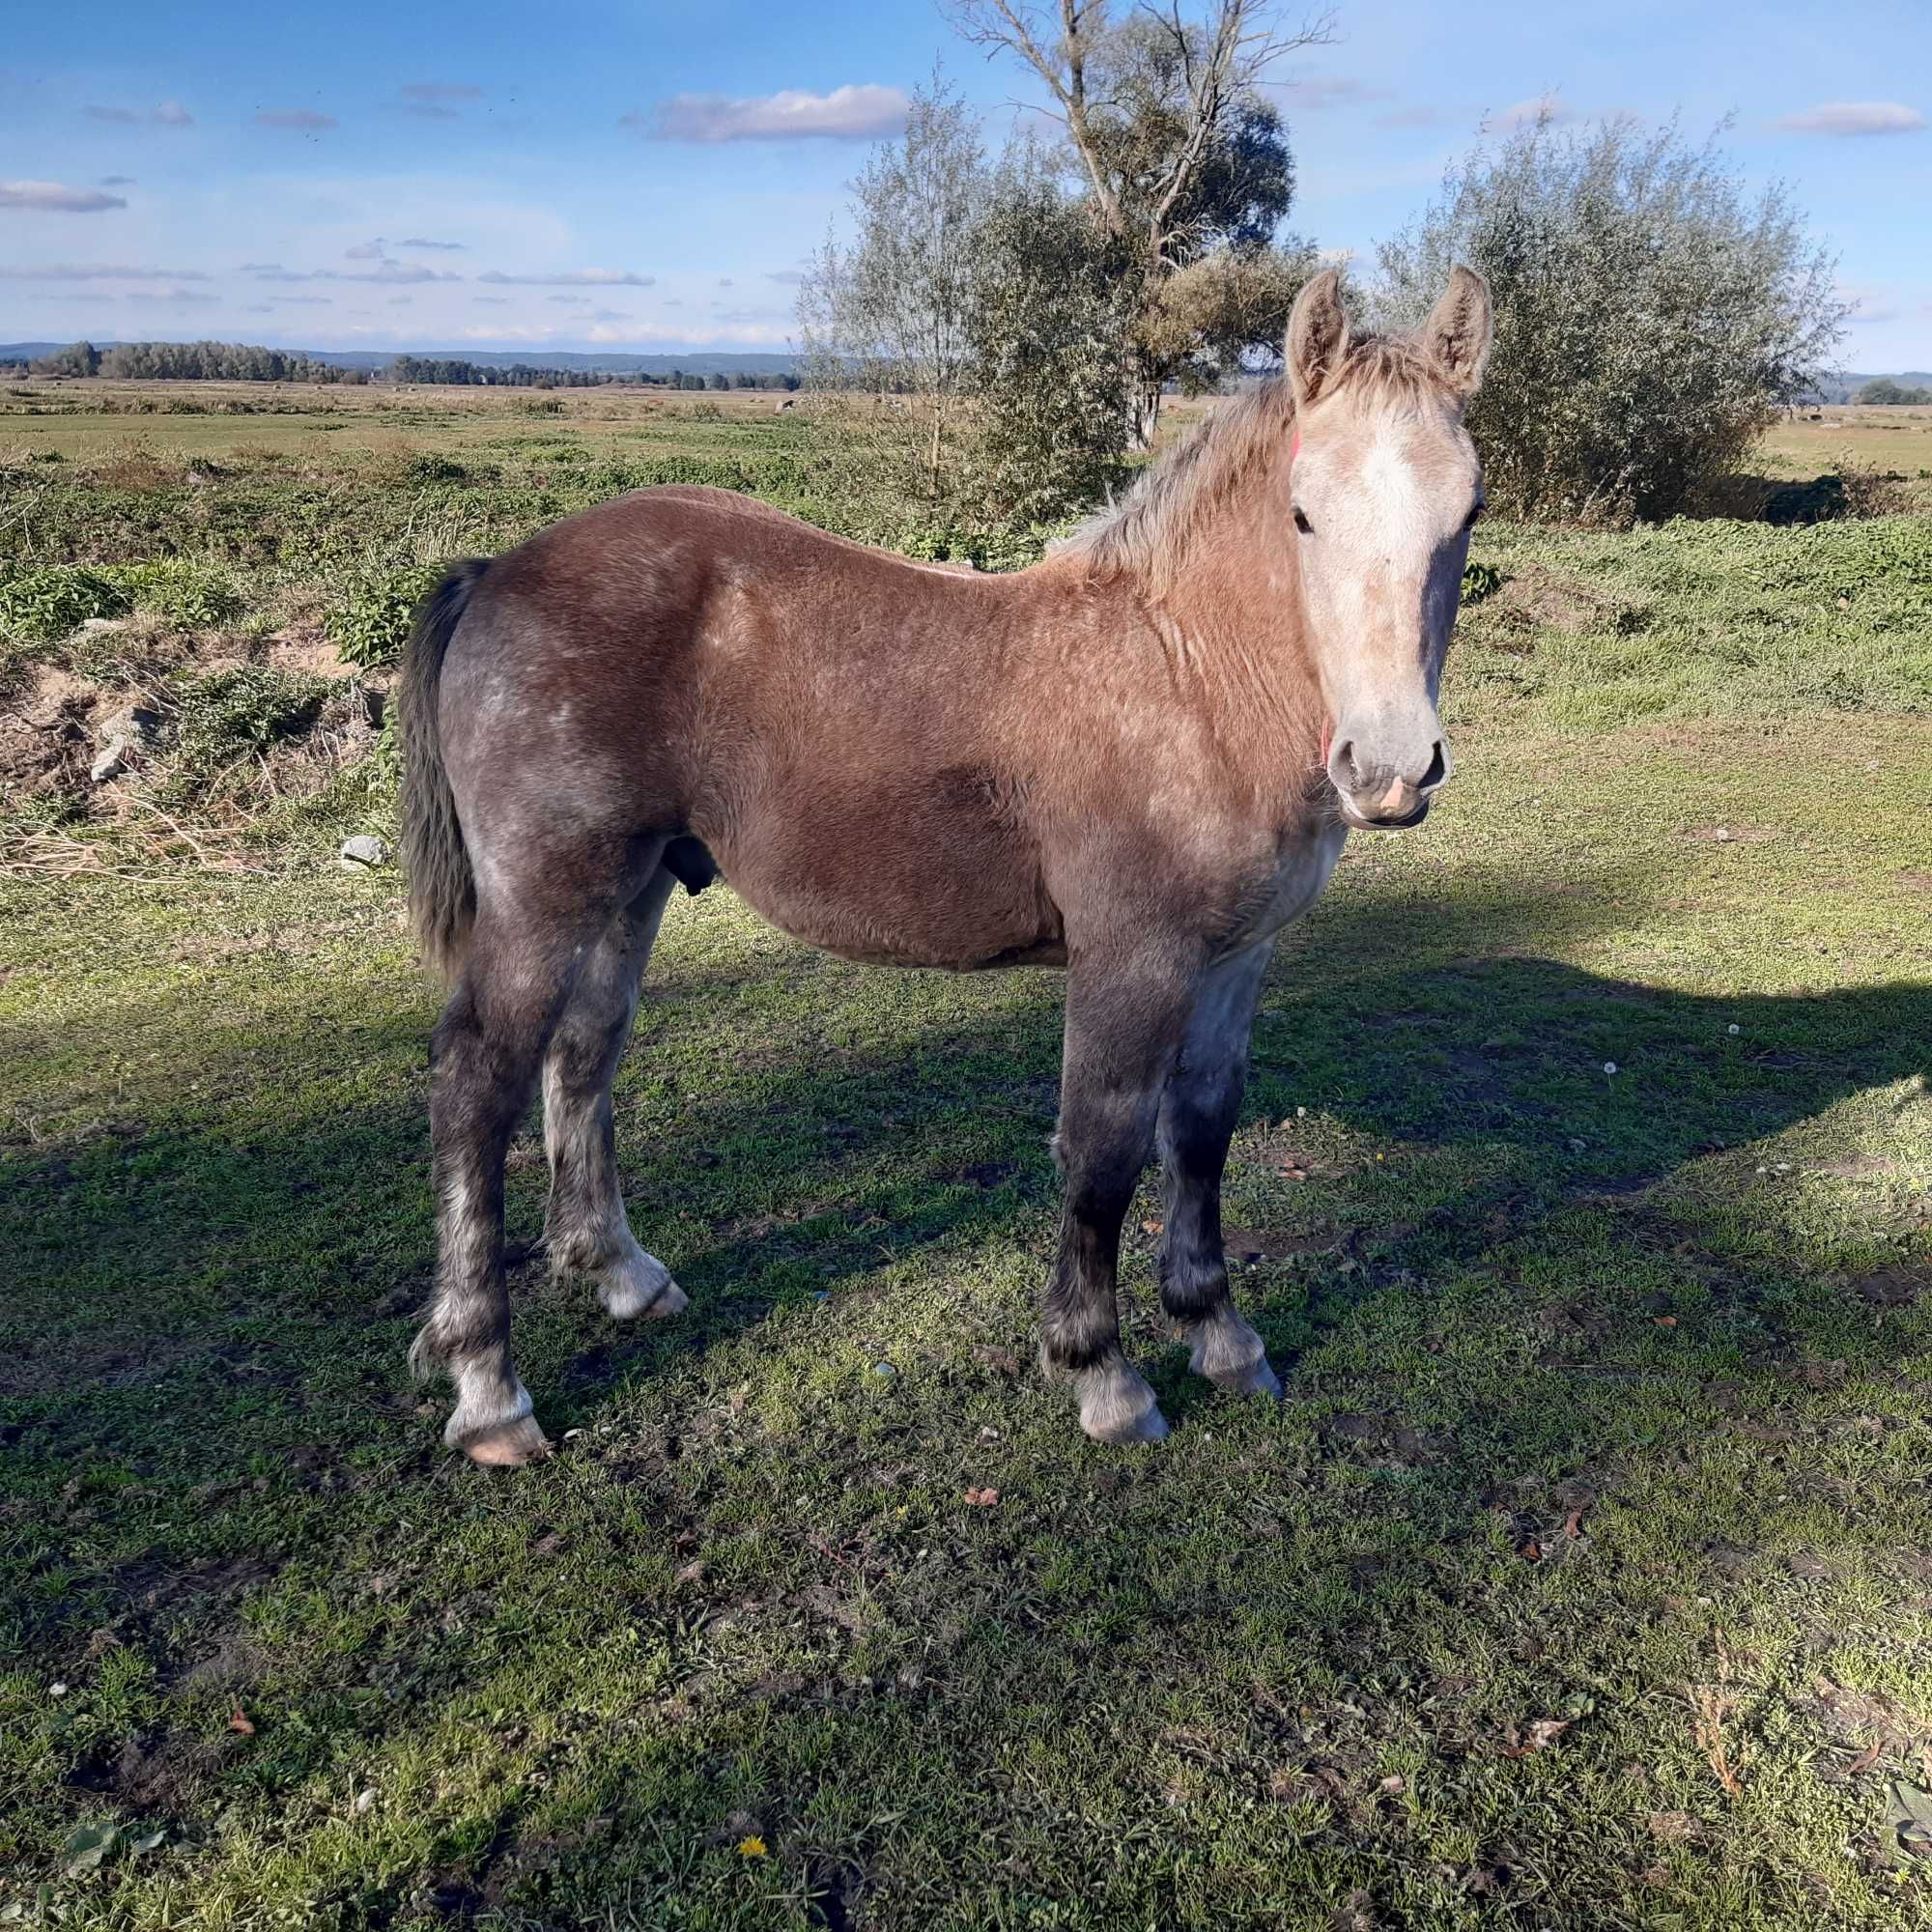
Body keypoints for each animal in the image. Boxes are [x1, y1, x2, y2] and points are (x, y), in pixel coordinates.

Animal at [400, 269, 1499, 1461]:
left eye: (1469, 510)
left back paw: (621, 1274)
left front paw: (1219, 1333)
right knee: (478, 1084)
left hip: (630, 884)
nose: (1387, 767)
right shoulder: (1133, 959)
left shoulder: (1234, 959)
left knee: (585, 1054)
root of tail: (498, 572)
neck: (1191, 676)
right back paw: (489, 1388)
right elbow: (1104, 1150)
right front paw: (1102, 1372)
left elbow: (1201, 1133)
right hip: (542, 893)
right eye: (1303, 513)